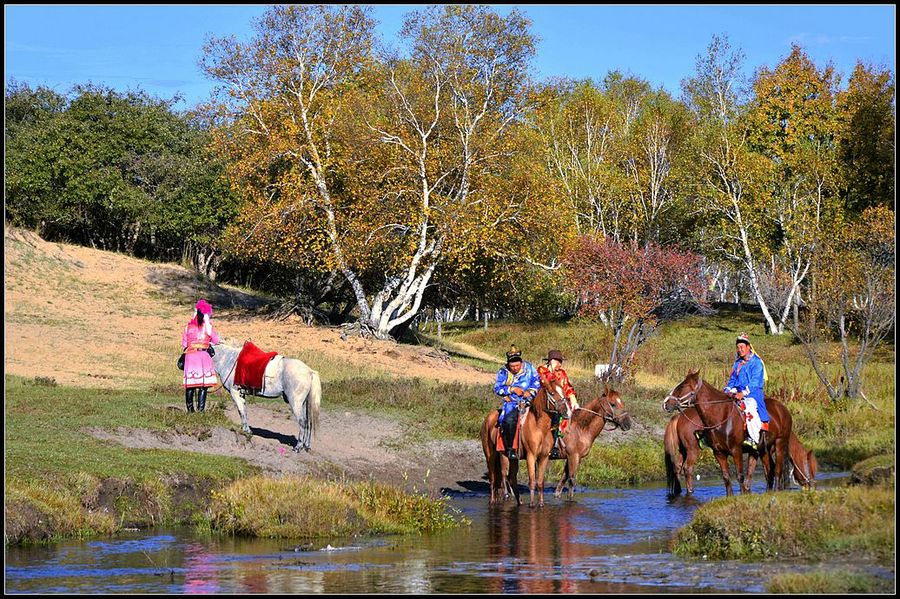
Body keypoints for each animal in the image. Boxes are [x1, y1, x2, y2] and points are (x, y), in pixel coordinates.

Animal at [660, 370, 796, 496]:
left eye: (683, 385)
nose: (666, 403)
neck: (721, 416)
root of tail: (782, 409)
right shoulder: (719, 453)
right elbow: (727, 477)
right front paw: (731, 496)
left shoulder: (737, 450)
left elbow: (740, 475)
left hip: (779, 443)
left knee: (777, 470)